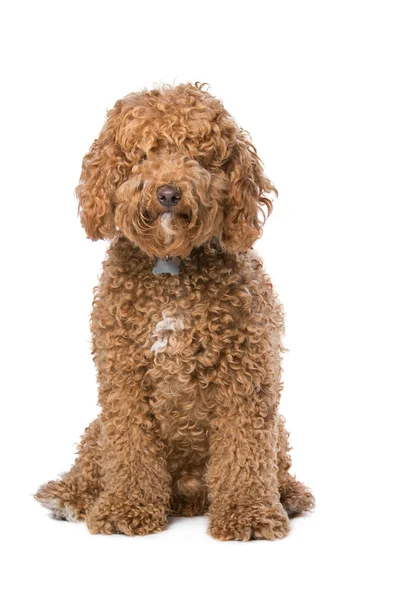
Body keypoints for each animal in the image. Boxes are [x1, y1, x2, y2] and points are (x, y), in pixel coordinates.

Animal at [35, 83, 316, 540]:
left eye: (198, 155)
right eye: (145, 153)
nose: (168, 193)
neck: (172, 267)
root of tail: (188, 495)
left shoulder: (248, 375)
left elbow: (245, 451)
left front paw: (249, 513)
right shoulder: (123, 377)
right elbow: (129, 449)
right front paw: (125, 507)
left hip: (278, 427)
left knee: (276, 463)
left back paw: (288, 495)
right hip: (99, 426)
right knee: (94, 457)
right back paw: (71, 495)